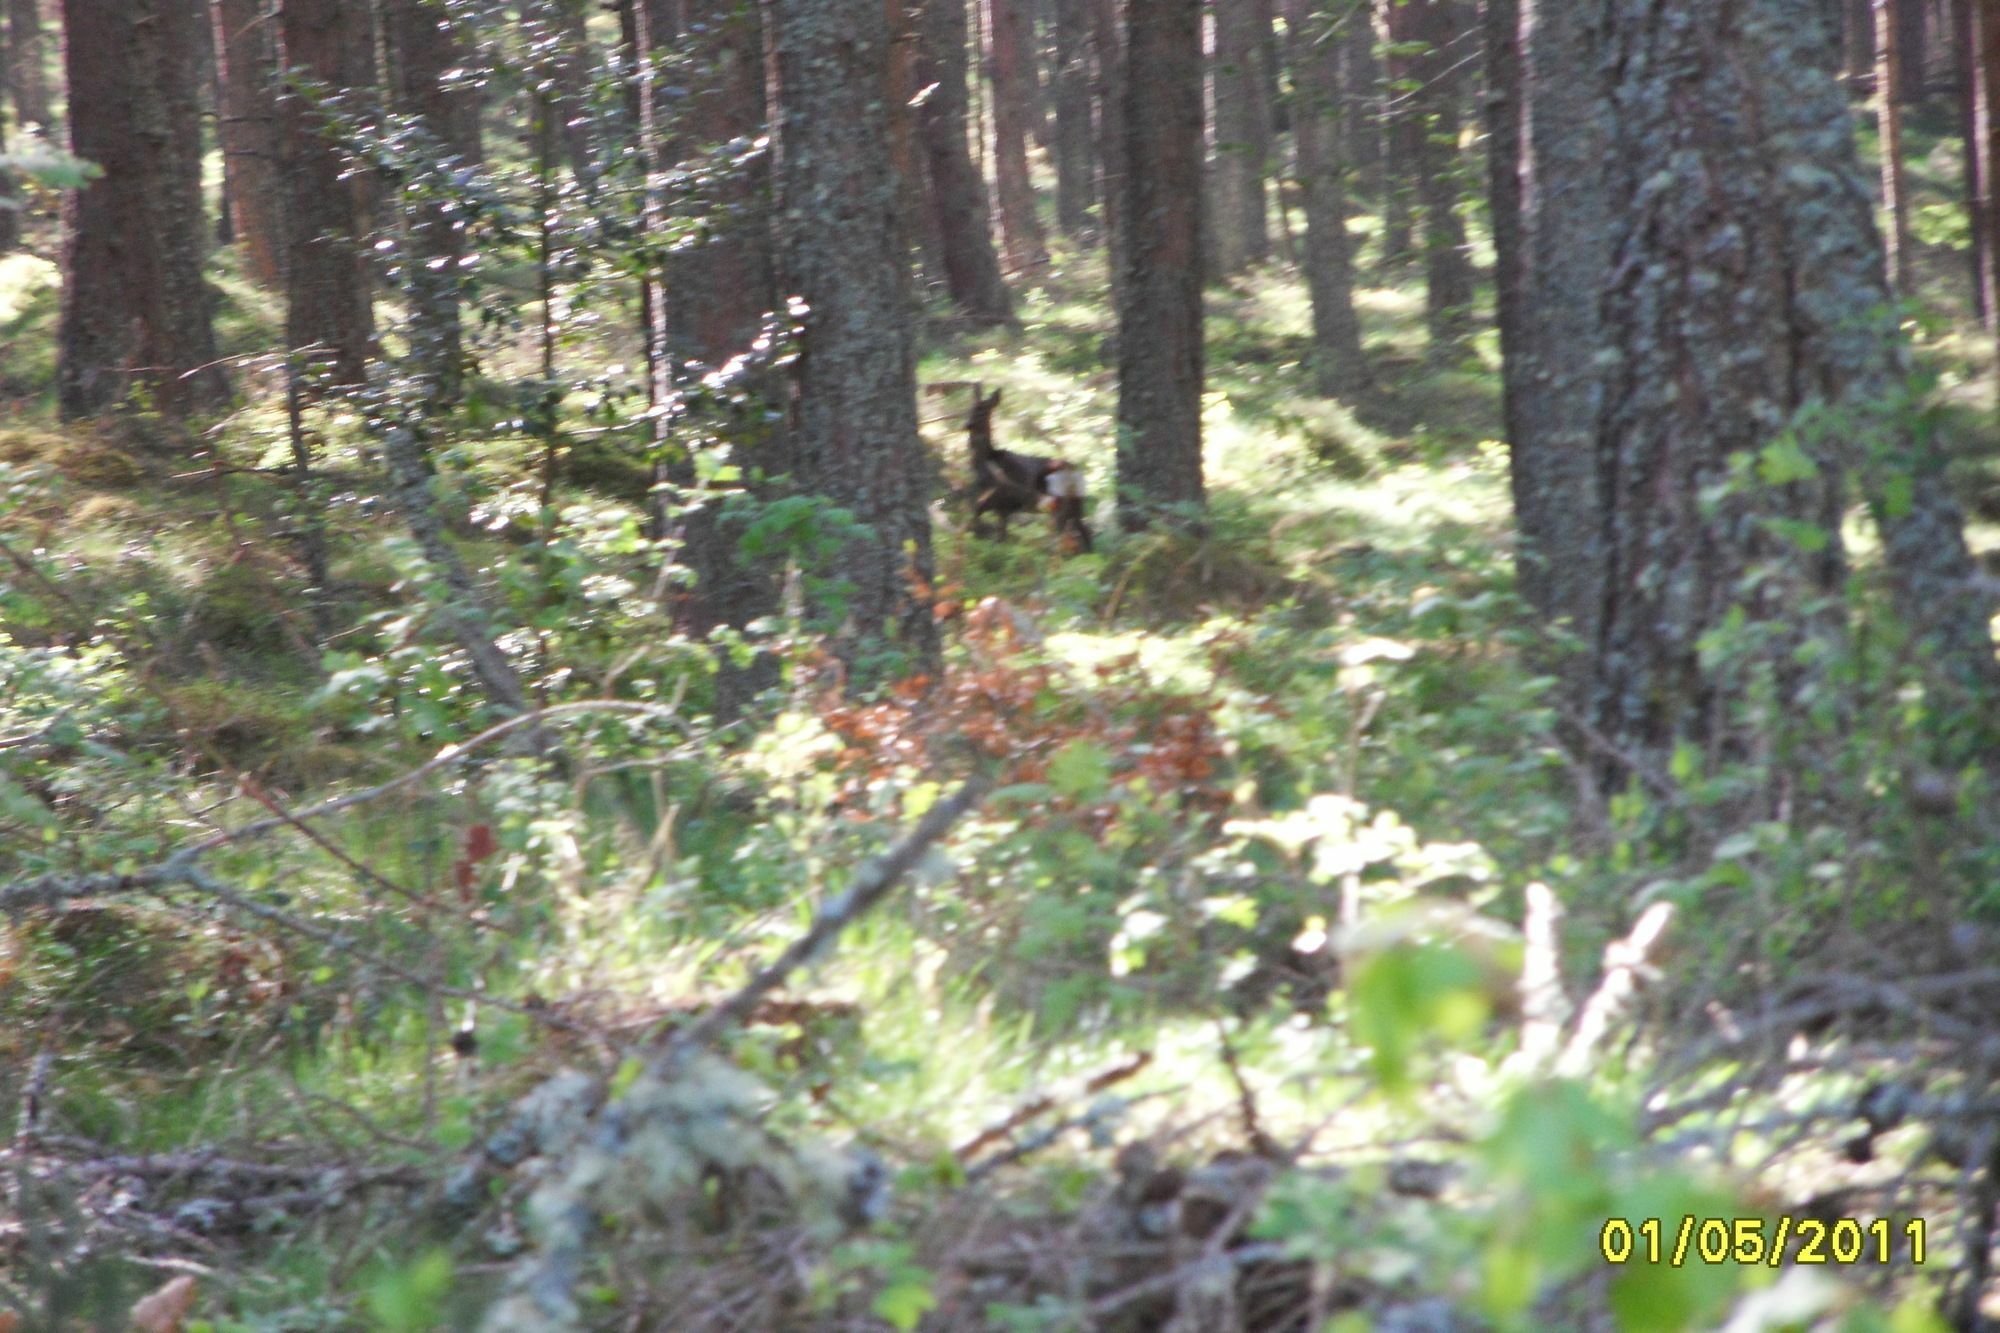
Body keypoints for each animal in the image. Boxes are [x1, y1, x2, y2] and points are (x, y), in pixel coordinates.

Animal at [964, 386, 1096, 552]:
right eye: (969, 408)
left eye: (982, 410)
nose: (967, 425)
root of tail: (1076, 472)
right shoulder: (998, 505)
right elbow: (997, 534)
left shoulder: (1002, 500)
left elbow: (991, 532)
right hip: (1076, 504)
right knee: (1084, 531)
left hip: (1058, 501)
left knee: (1063, 534)